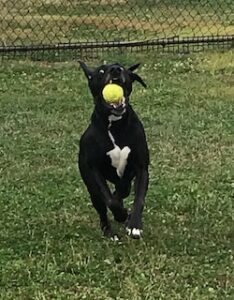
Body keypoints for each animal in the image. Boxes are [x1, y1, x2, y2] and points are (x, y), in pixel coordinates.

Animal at [78, 61, 148, 239]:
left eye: (122, 67)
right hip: (91, 186)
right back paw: (109, 230)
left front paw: (134, 225)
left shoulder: (141, 168)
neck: (115, 125)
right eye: (101, 71)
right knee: (102, 206)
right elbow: (109, 200)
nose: (115, 70)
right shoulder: (94, 170)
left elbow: (139, 198)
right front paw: (121, 215)